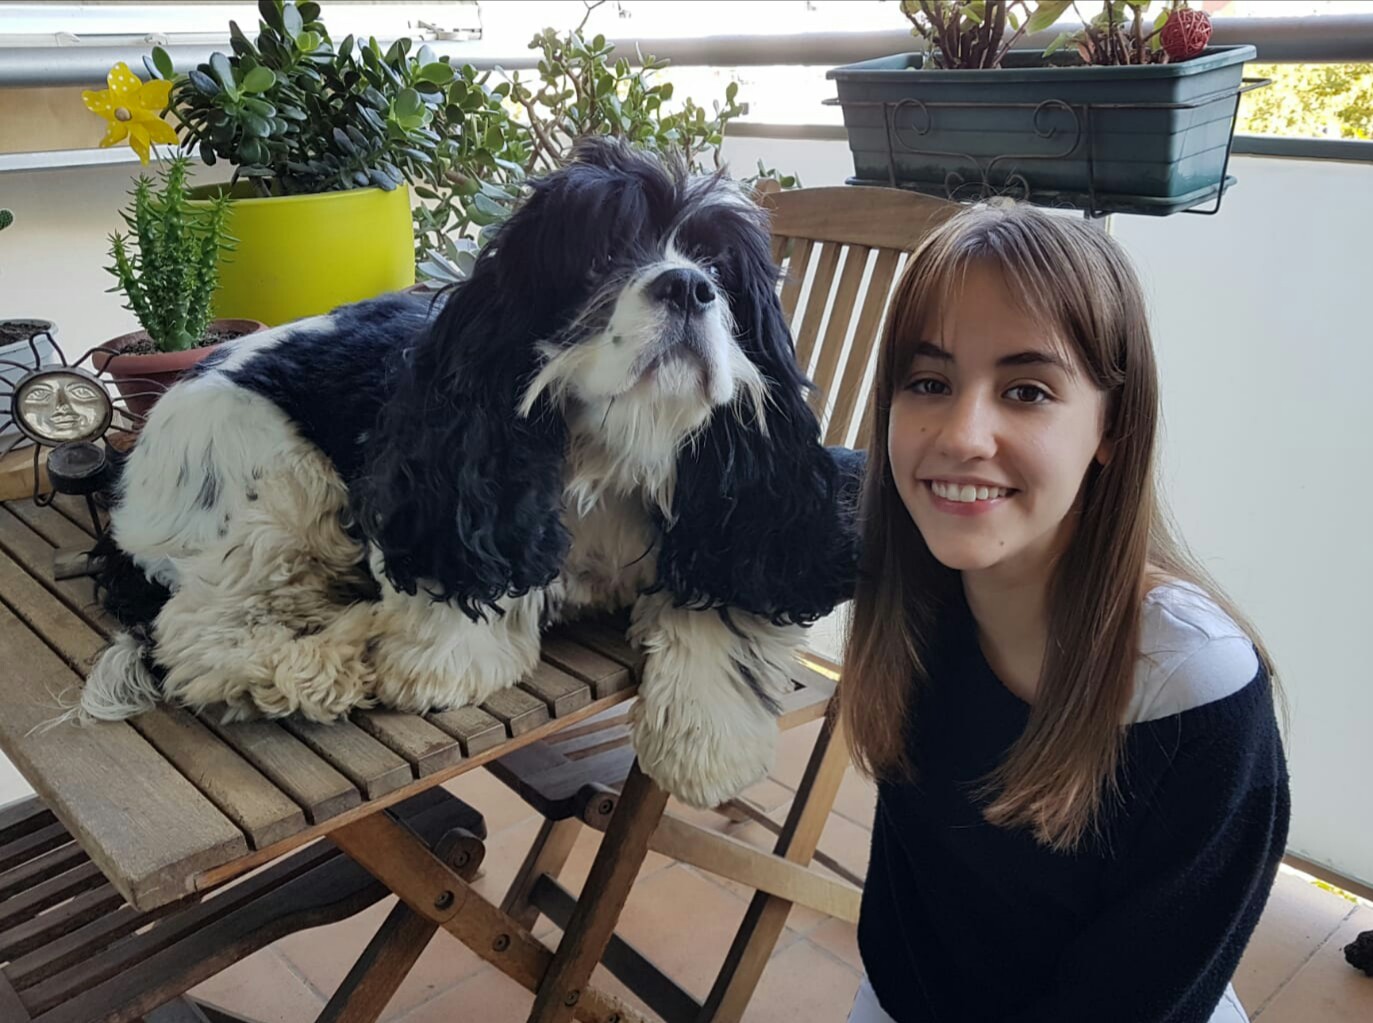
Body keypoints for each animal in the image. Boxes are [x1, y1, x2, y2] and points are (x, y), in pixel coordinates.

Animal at [82, 138, 863, 808]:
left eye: (719, 265)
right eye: (602, 252)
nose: (689, 286)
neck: (612, 448)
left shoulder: (751, 512)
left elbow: (722, 598)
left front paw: (709, 739)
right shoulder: (440, 487)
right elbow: (463, 583)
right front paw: (439, 659)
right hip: (276, 486)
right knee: (199, 637)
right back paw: (331, 658)